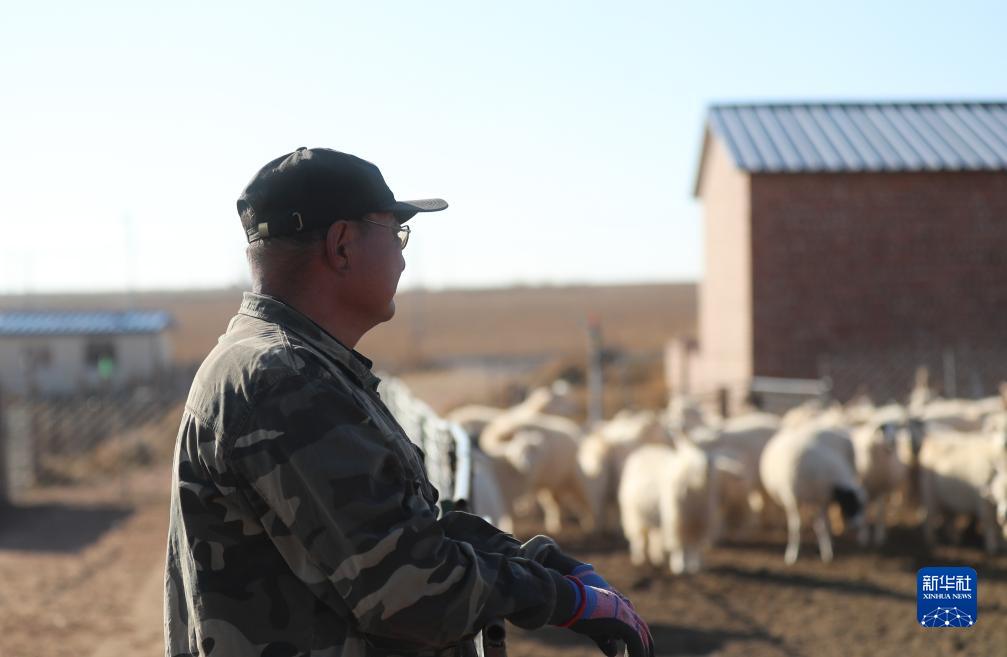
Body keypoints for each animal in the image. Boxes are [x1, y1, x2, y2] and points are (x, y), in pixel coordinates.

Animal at [759, 425, 866, 564]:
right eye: (851, 503)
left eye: (862, 506)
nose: (857, 525)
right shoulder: (794, 499)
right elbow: (796, 527)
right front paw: (792, 554)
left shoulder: (822, 500)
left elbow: (823, 525)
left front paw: (827, 551)